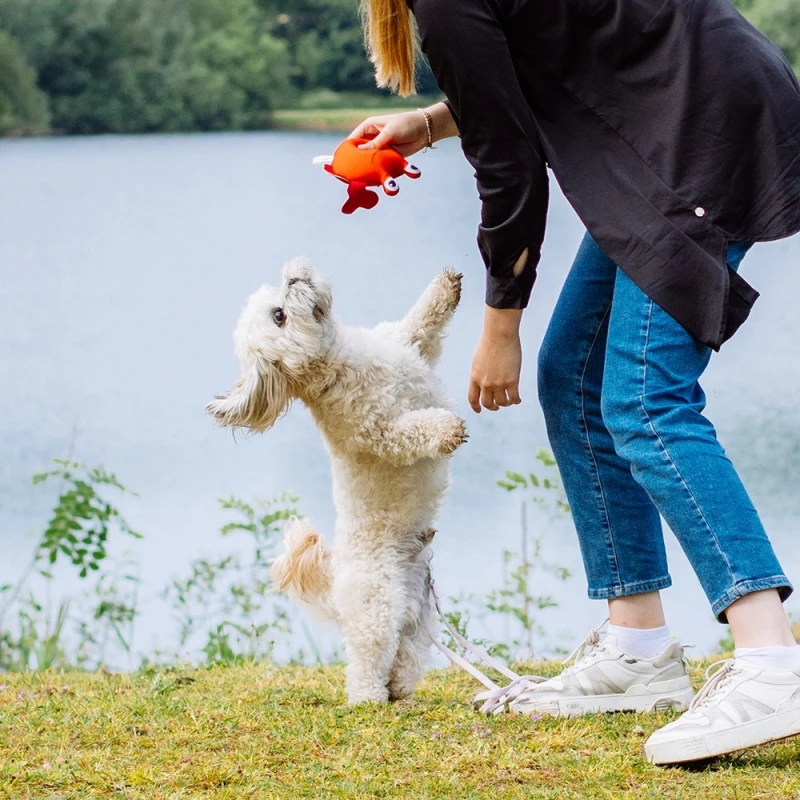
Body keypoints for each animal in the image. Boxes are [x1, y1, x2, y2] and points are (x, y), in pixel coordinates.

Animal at [206, 260, 466, 704]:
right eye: (280, 315)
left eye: (279, 295)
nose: (295, 276)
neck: (344, 362)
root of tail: (335, 576)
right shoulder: (383, 434)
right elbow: (415, 429)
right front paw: (447, 428)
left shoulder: (407, 345)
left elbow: (421, 323)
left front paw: (445, 288)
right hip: (374, 608)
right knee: (368, 659)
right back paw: (369, 699)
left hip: (418, 616)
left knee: (405, 656)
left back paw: (399, 691)